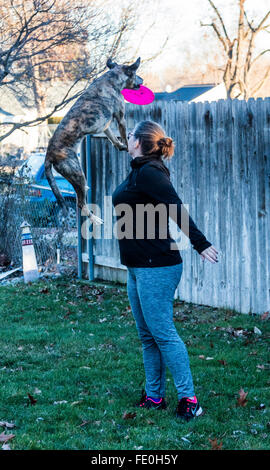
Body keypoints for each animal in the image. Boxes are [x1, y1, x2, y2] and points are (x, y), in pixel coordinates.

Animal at [44, 57, 141, 226]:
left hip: (76, 177)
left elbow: (113, 138)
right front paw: (127, 147)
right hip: (77, 174)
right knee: (80, 204)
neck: (112, 78)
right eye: (136, 74)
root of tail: (49, 155)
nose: (142, 81)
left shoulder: (105, 125)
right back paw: (95, 219)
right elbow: (123, 136)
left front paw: (121, 146)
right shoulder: (120, 118)